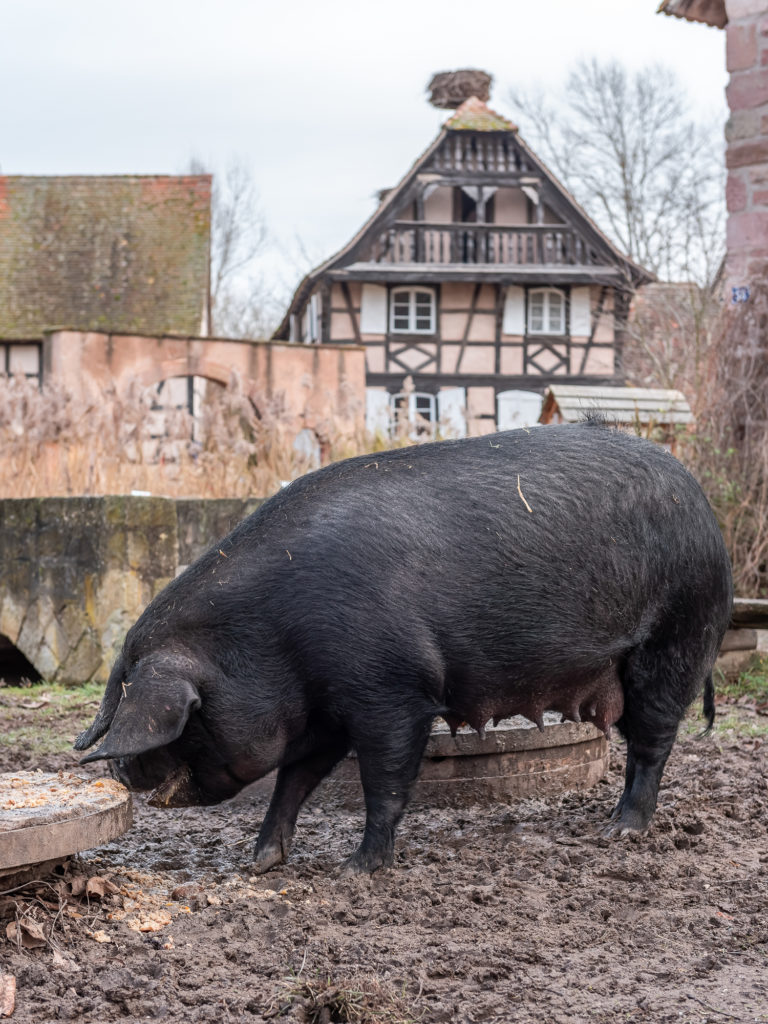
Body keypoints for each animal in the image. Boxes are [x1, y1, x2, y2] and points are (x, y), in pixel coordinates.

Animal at [76, 423, 733, 872]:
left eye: (183, 720)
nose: (117, 766)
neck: (271, 637)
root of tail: (704, 505)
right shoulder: (322, 712)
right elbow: (294, 780)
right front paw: (260, 864)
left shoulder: (393, 691)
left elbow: (385, 782)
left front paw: (357, 871)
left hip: (674, 636)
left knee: (653, 743)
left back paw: (620, 833)